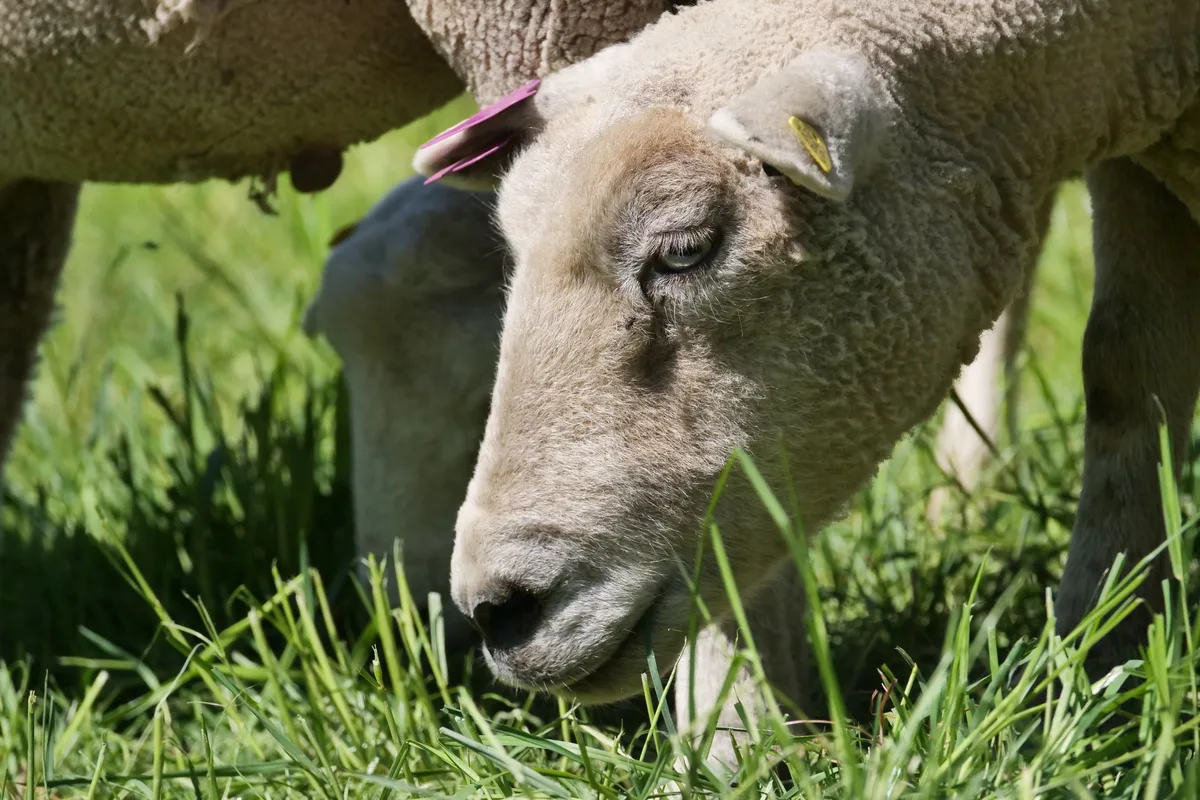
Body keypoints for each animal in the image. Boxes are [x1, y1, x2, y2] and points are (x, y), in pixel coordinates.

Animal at [407, 0, 1200, 767]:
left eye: (687, 250)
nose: (495, 610)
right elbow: (1129, 365)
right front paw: (1105, 646)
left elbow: (1128, 368)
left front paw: (1101, 646)